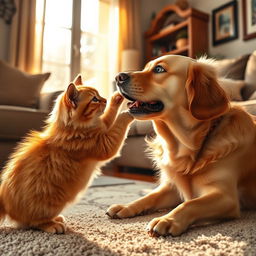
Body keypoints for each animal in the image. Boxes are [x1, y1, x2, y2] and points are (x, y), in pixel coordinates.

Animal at [0, 75, 134, 233]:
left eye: (99, 95)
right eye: (94, 99)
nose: (105, 99)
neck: (74, 128)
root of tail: (4, 201)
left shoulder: (103, 127)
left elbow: (108, 116)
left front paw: (116, 98)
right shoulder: (105, 144)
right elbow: (118, 123)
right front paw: (127, 113)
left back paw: (56, 219)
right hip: (48, 204)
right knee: (33, 223)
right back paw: (53, 224)